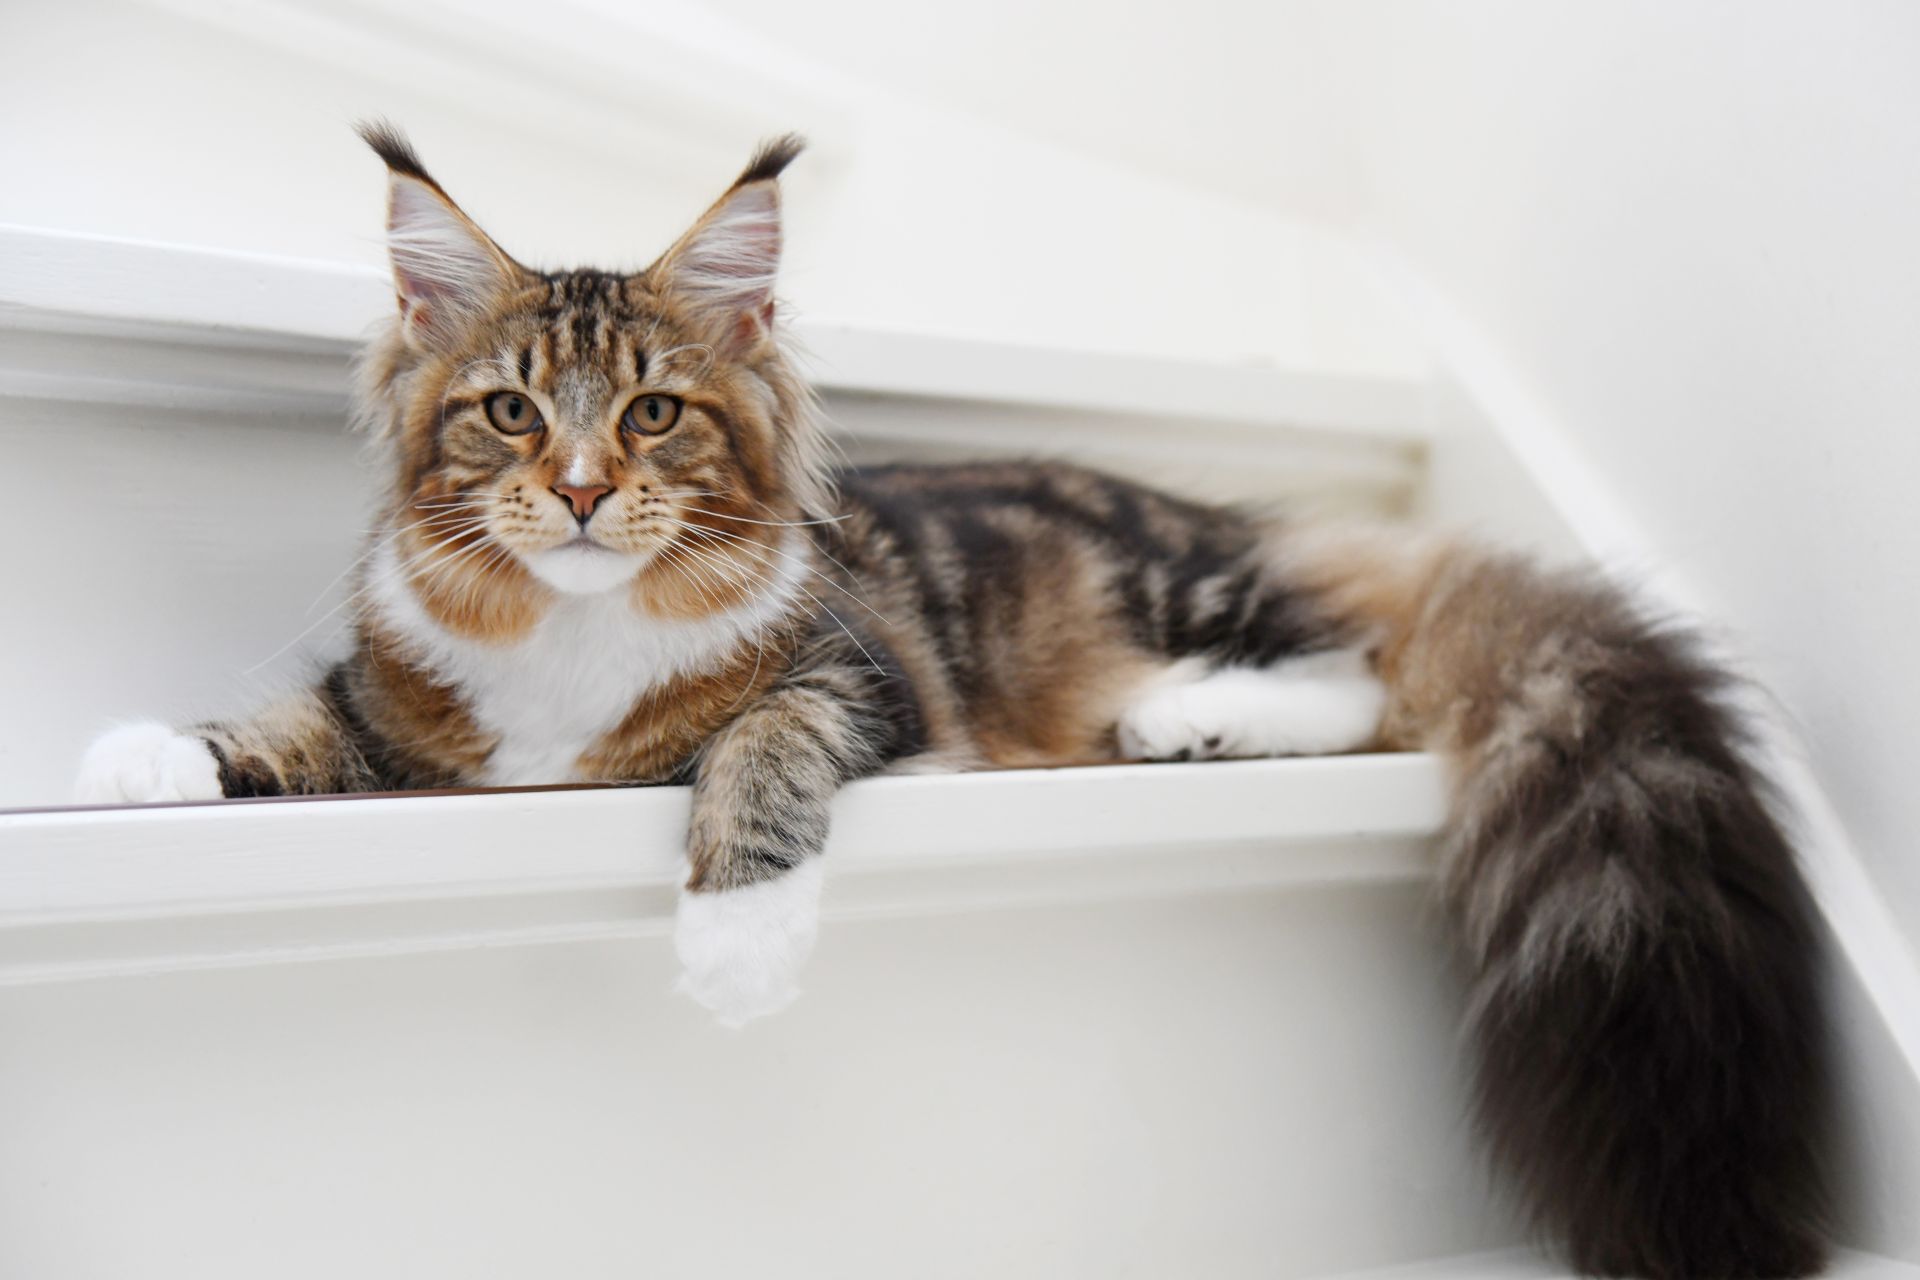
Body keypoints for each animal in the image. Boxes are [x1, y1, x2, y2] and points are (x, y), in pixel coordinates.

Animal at [78, 122, 1827, 1280]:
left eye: (653, 416)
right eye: (509, 414)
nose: (576, 493)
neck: (576, 644)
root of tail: (1246, 522)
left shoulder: (863, 680)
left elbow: (760, 749)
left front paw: (735, 944)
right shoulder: (398, 711)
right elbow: (277, 730)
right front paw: (134, 764)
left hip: (1183, 587)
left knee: (1364, 668)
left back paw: (1195, 720)